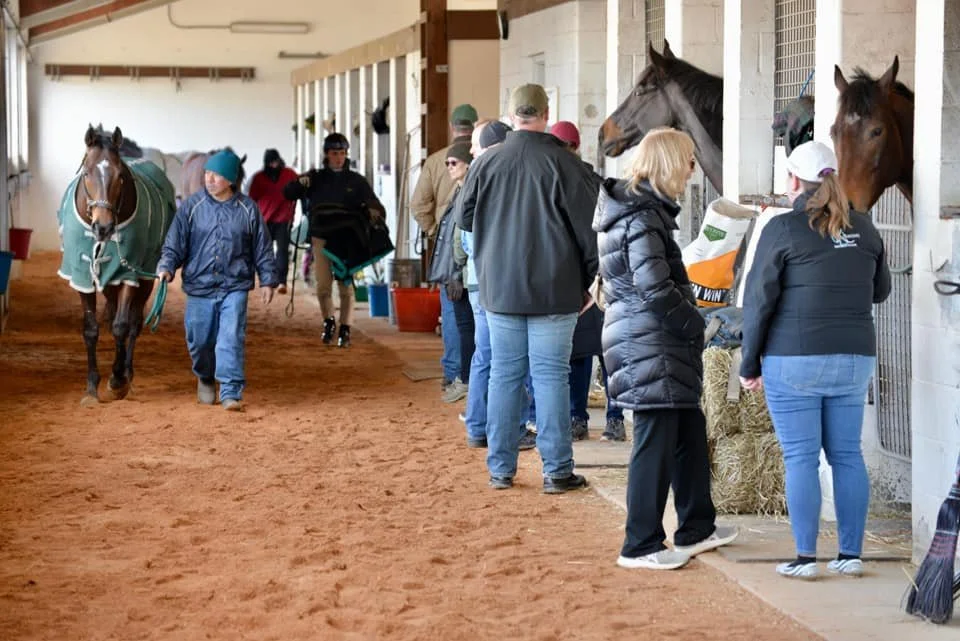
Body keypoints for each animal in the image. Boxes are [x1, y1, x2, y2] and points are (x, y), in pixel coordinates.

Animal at [56, 125, 177, 406]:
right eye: (87, 173)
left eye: (120, 175)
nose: (104, 226)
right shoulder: (82, 277)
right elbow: (91, 330)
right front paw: (91, 387)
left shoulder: (128, 274)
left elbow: (121, 326)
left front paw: (117, 380)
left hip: (145, 278)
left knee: (134, 322)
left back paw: (127, 373)